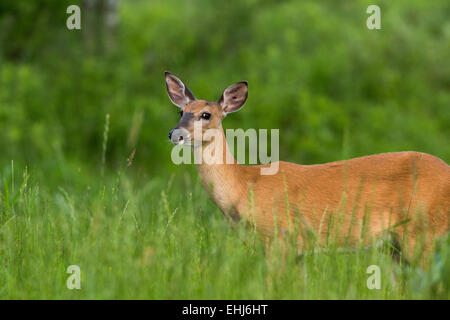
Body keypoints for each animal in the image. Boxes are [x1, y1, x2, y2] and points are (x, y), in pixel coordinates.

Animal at [165, 72, 450, 264]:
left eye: (206, 114)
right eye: (180, 111)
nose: (174, 134)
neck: (245, 185)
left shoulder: (280, 239)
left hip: (423, 233)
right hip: (395, 247)